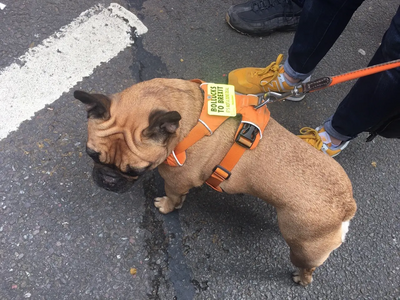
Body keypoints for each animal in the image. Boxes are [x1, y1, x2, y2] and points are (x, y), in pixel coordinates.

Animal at [74, 77, 356, 286]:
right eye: (91, 155)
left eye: (135, 170)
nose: (108, 179)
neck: (185, 124)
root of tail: (346, 204)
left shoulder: (176, 180)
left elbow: (172, 196)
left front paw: (166, 206)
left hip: (304, 248)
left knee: (308, 268)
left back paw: (301, 278)